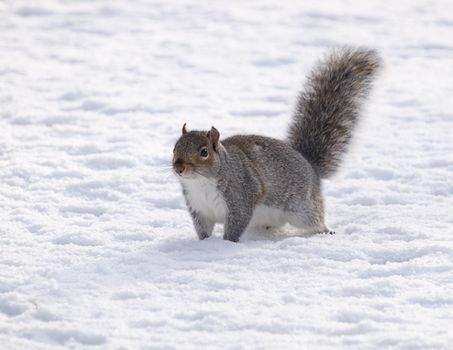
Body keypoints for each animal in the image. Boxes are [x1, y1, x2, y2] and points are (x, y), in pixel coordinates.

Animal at [171, 47, 380, 242]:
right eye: (174, 148)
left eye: (204, 152)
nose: (179, 168)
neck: (200, 182)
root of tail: (310, 166)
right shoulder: (198, 208)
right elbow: (203, 230)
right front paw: (204, 245)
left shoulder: (241, 197)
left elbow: (235, 226)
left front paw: (226, 244)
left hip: (302, 209)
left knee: (316, 220)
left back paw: (325, 232)